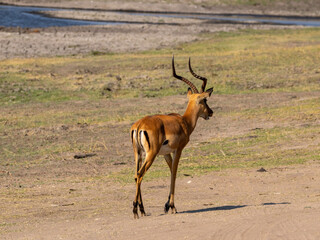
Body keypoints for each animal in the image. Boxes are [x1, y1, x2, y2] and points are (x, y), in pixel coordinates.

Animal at [131, 56, 214, 219]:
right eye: (204, 100)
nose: (211, 112)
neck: (184, 121)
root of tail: (140, 125)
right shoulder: (178, 150)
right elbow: (174, 173)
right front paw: (172, 207)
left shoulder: (166, 153)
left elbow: (170, 172)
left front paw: (167, 205)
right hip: (151, 154)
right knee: (140, 174)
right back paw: (136, 210)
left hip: (139, 154)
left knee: (136, 175)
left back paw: (142, 209)